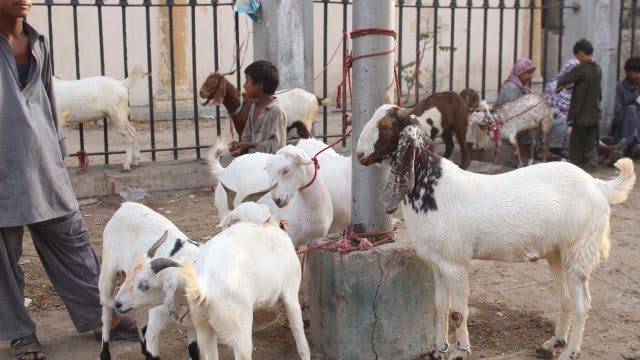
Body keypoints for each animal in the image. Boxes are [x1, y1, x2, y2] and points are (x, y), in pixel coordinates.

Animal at [99, 202, 200, 360]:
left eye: (146, 285)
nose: (119, 303)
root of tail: (126, 205)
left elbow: (193, 351)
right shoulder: (156, 320)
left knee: (137, 312)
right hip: (108, 268)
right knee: (106, 309)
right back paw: (105, 353)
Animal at [356, 104, 636, 360]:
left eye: (387, 127)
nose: (359, 155)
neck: (432, 187)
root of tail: (598, 186)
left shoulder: (456, 263)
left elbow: (458, 312)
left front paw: (461, 352)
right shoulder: (438, 262)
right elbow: (440, 306)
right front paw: (438, 350)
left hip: (578, 250)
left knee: (582, 303)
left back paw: (570, 352)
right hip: (558, 253)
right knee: (566, 298)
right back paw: (552, 344)